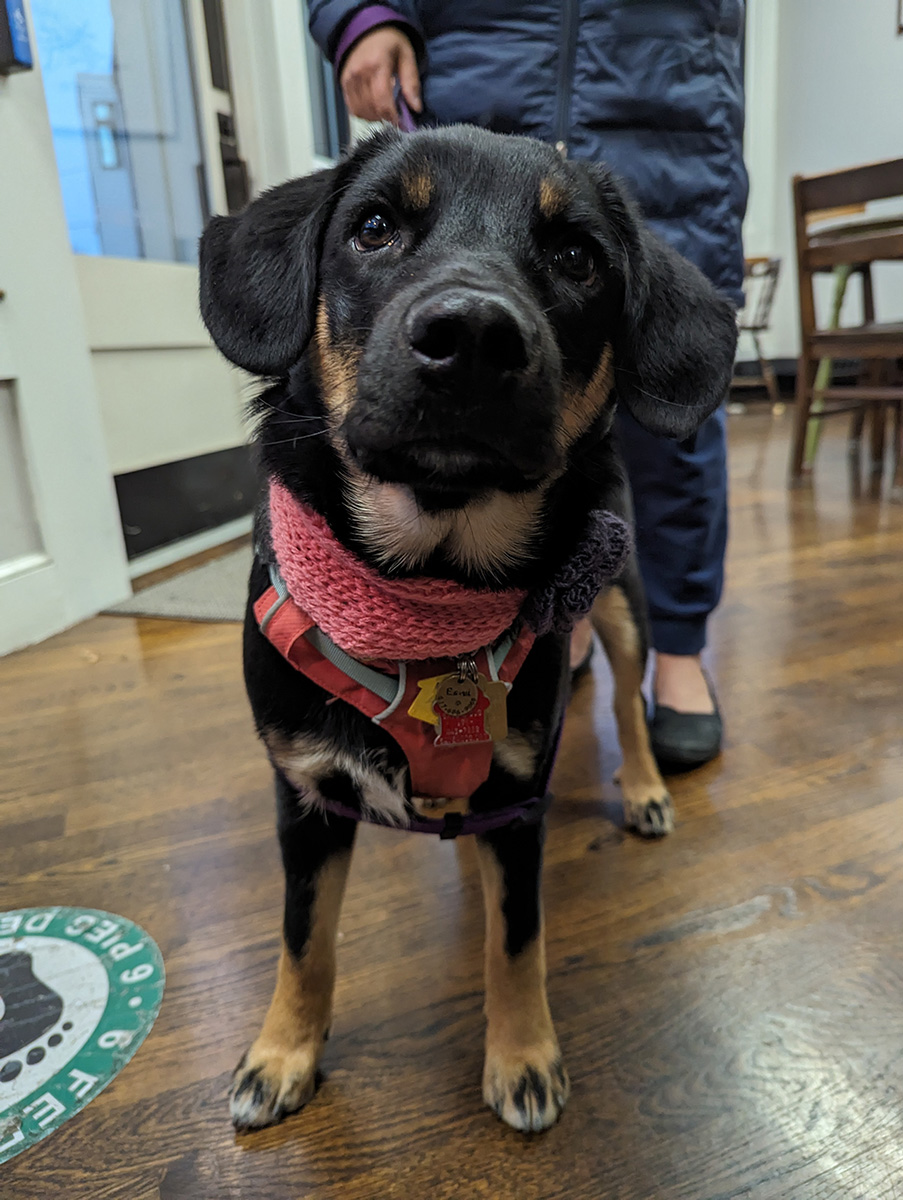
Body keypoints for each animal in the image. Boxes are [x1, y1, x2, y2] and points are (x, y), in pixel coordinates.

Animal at [199, 125, 736, 1134]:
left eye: (577, 257)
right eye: (372, 228)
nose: (474, 339)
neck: (426, 592)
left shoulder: (519, 801)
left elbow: (515, 940)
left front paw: (522, 1058)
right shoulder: (303, 795)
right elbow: (302, 940)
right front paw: (282, 1053)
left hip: (620, 595)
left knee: (631, 698)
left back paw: (644, 787)